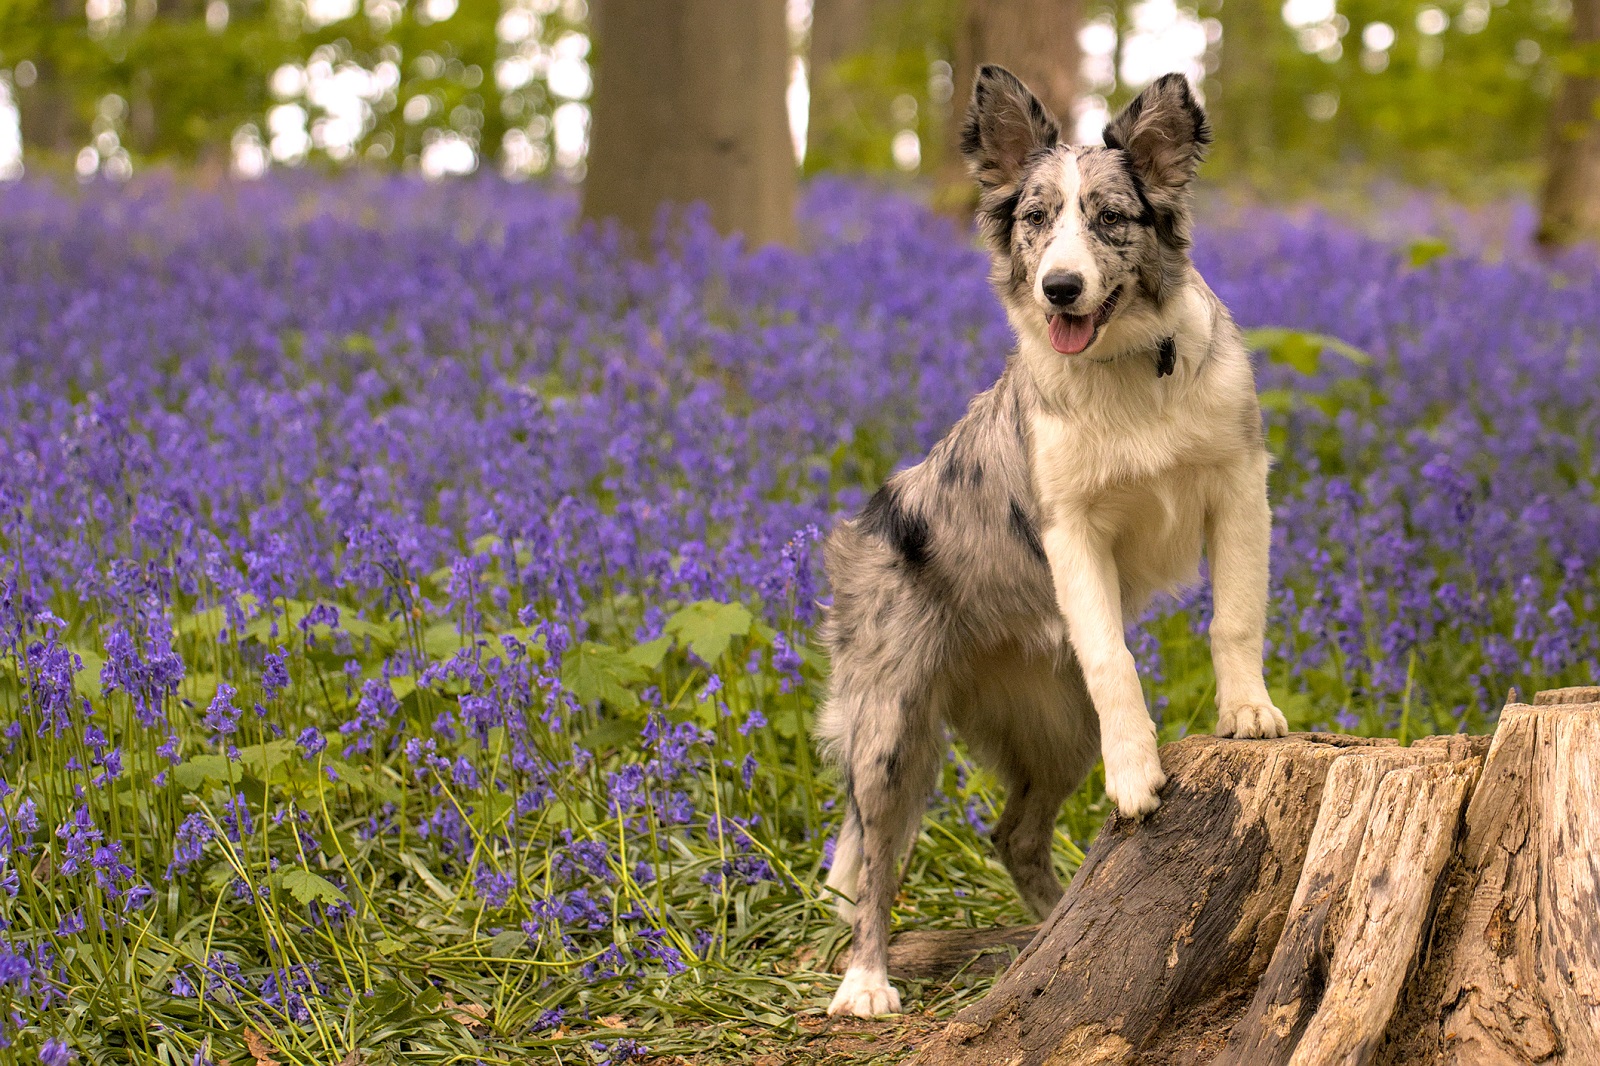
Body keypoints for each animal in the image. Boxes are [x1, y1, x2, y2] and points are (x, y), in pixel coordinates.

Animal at [812, 66, 1286, 1011]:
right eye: (1035, 217)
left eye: (1110, 217)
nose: (1059, 288)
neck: (1131, 369)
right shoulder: (1070, 529)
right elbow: (1113, 658)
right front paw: (1137, 770)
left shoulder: (1238, 485)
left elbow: (1235, 619)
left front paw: (1247, 711)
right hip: (890, 726)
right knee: (875, 859)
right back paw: (868, 982)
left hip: (1055, 728)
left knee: (1014, 836)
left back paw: (1054, 930)